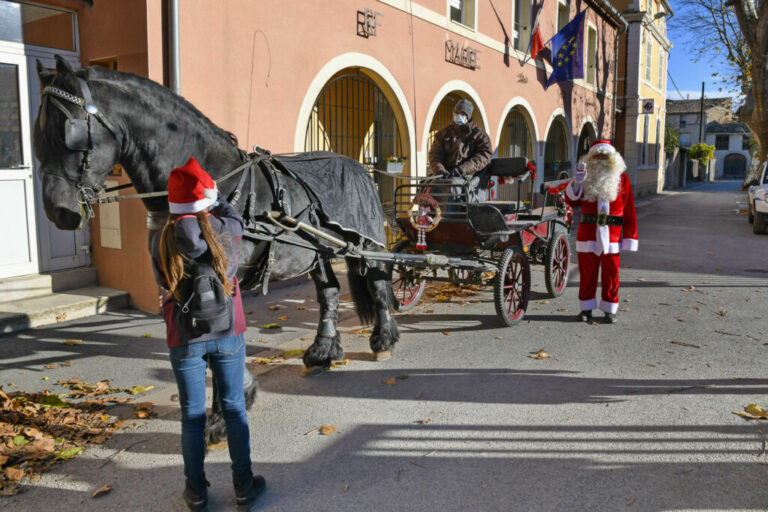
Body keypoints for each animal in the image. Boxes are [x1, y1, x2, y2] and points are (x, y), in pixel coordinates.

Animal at [33, 55, 400, 440]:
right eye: (37, 136)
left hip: (364, 244)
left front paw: (226, 411)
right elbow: (205, 339)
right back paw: (323, 351)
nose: (58, 211)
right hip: (319, 253)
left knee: (377, 285)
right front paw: (238, 395)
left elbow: (221, 336)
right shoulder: (180, 281)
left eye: (70, 134)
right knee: (328, 292)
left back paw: (384, 340)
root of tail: (357, 164)